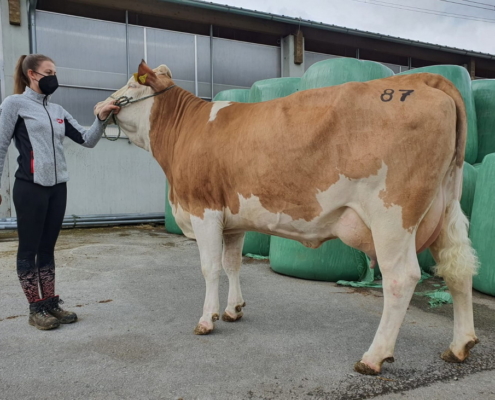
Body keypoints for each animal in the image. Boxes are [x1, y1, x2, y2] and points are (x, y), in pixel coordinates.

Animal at [94, 61, 480, 376]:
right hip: (446, 208)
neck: (186, 130)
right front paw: (233, 309)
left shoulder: (204, 210)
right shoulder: (233, 219)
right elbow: (232, 263)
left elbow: (210, 267)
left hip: (393, 215)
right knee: (458, 271)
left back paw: (374, 356)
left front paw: (207, 319)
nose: (100, 108)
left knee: (401, 278)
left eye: (129, 86)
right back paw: (459, 346)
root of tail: (423, 78)